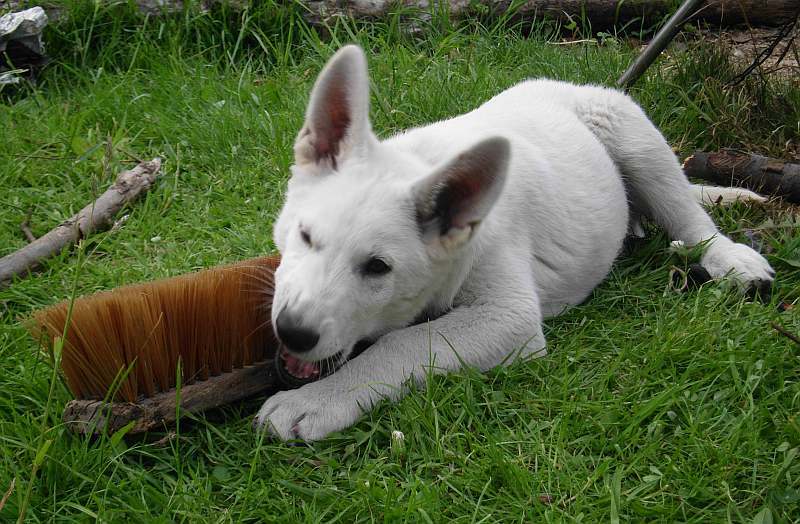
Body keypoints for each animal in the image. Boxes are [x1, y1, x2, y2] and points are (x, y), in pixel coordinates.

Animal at [253, 45, 772, 440]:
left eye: (378, 268)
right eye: (304, 235)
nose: (293, 332)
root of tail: (571, 87)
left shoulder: (509, 316)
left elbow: (405, 342)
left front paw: (315, 402)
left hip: (631, 132)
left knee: (686, 214)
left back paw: (731, 259)